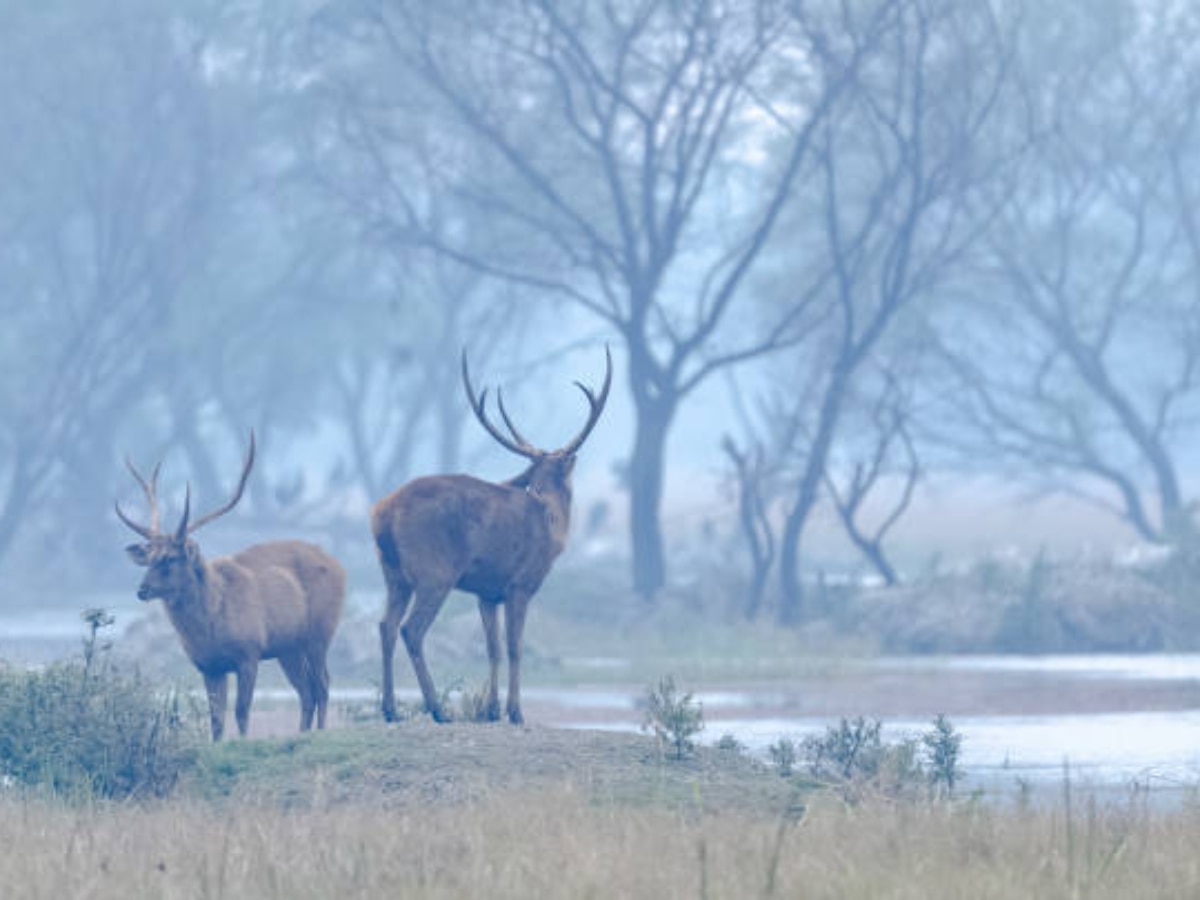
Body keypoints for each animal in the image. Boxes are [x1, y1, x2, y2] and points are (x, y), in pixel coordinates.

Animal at [115, 434, 348, 744]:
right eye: (149, 558)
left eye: (171, 558)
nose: (142, 590)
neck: (211, 624)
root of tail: (339, 565)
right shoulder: (208, 665)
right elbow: (215, 719)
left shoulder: (249, 652)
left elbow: (241, 710)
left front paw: (243, 742)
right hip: (289, 648)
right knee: (307, 691)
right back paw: (301, 733)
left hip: (320, 632)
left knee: (322, 684)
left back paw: (319, 732)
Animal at [372, 345, 609, 724]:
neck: (553, 522)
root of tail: (382, 514)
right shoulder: (520, 584)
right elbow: (514, 647)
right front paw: (515, 711)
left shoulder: (487, 591)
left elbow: (492, 647)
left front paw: (490, 709)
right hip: (434, 573)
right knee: (412, 629)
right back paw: (438, 709)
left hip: (394, 574)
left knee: (386, 626)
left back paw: (392, 709)